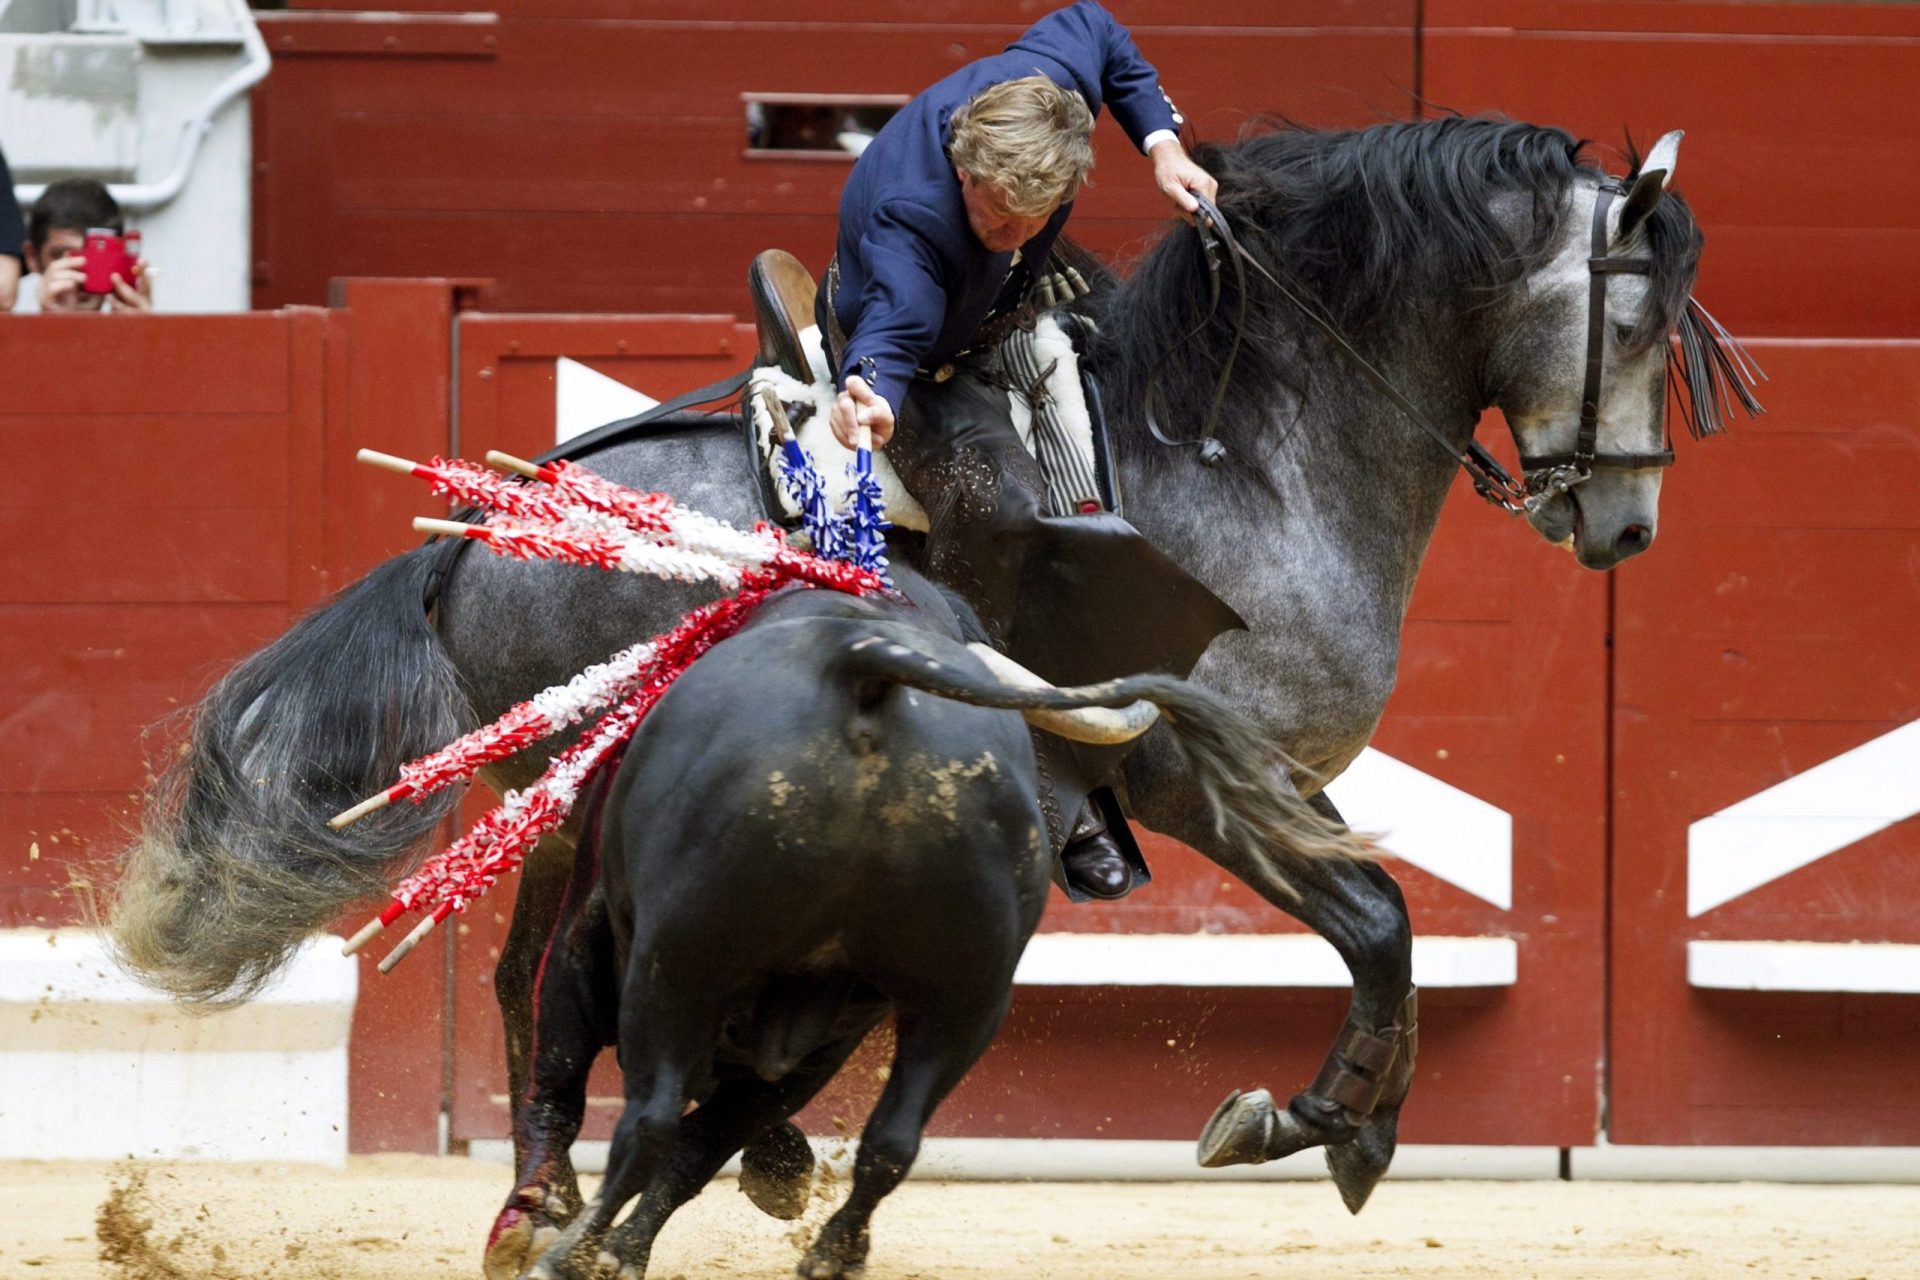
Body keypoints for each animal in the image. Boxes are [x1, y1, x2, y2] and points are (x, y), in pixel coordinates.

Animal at [495, 579, 1367, 1280]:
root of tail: (861, 664)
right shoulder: (825, 1036)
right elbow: (705, 1140)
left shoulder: (590, 946)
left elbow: (570, 1083)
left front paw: (545, 1224)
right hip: (967, 996)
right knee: (888, 1140)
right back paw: (831, 1252)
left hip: (679, 966)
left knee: (645, 1119)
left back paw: (568, 1255)